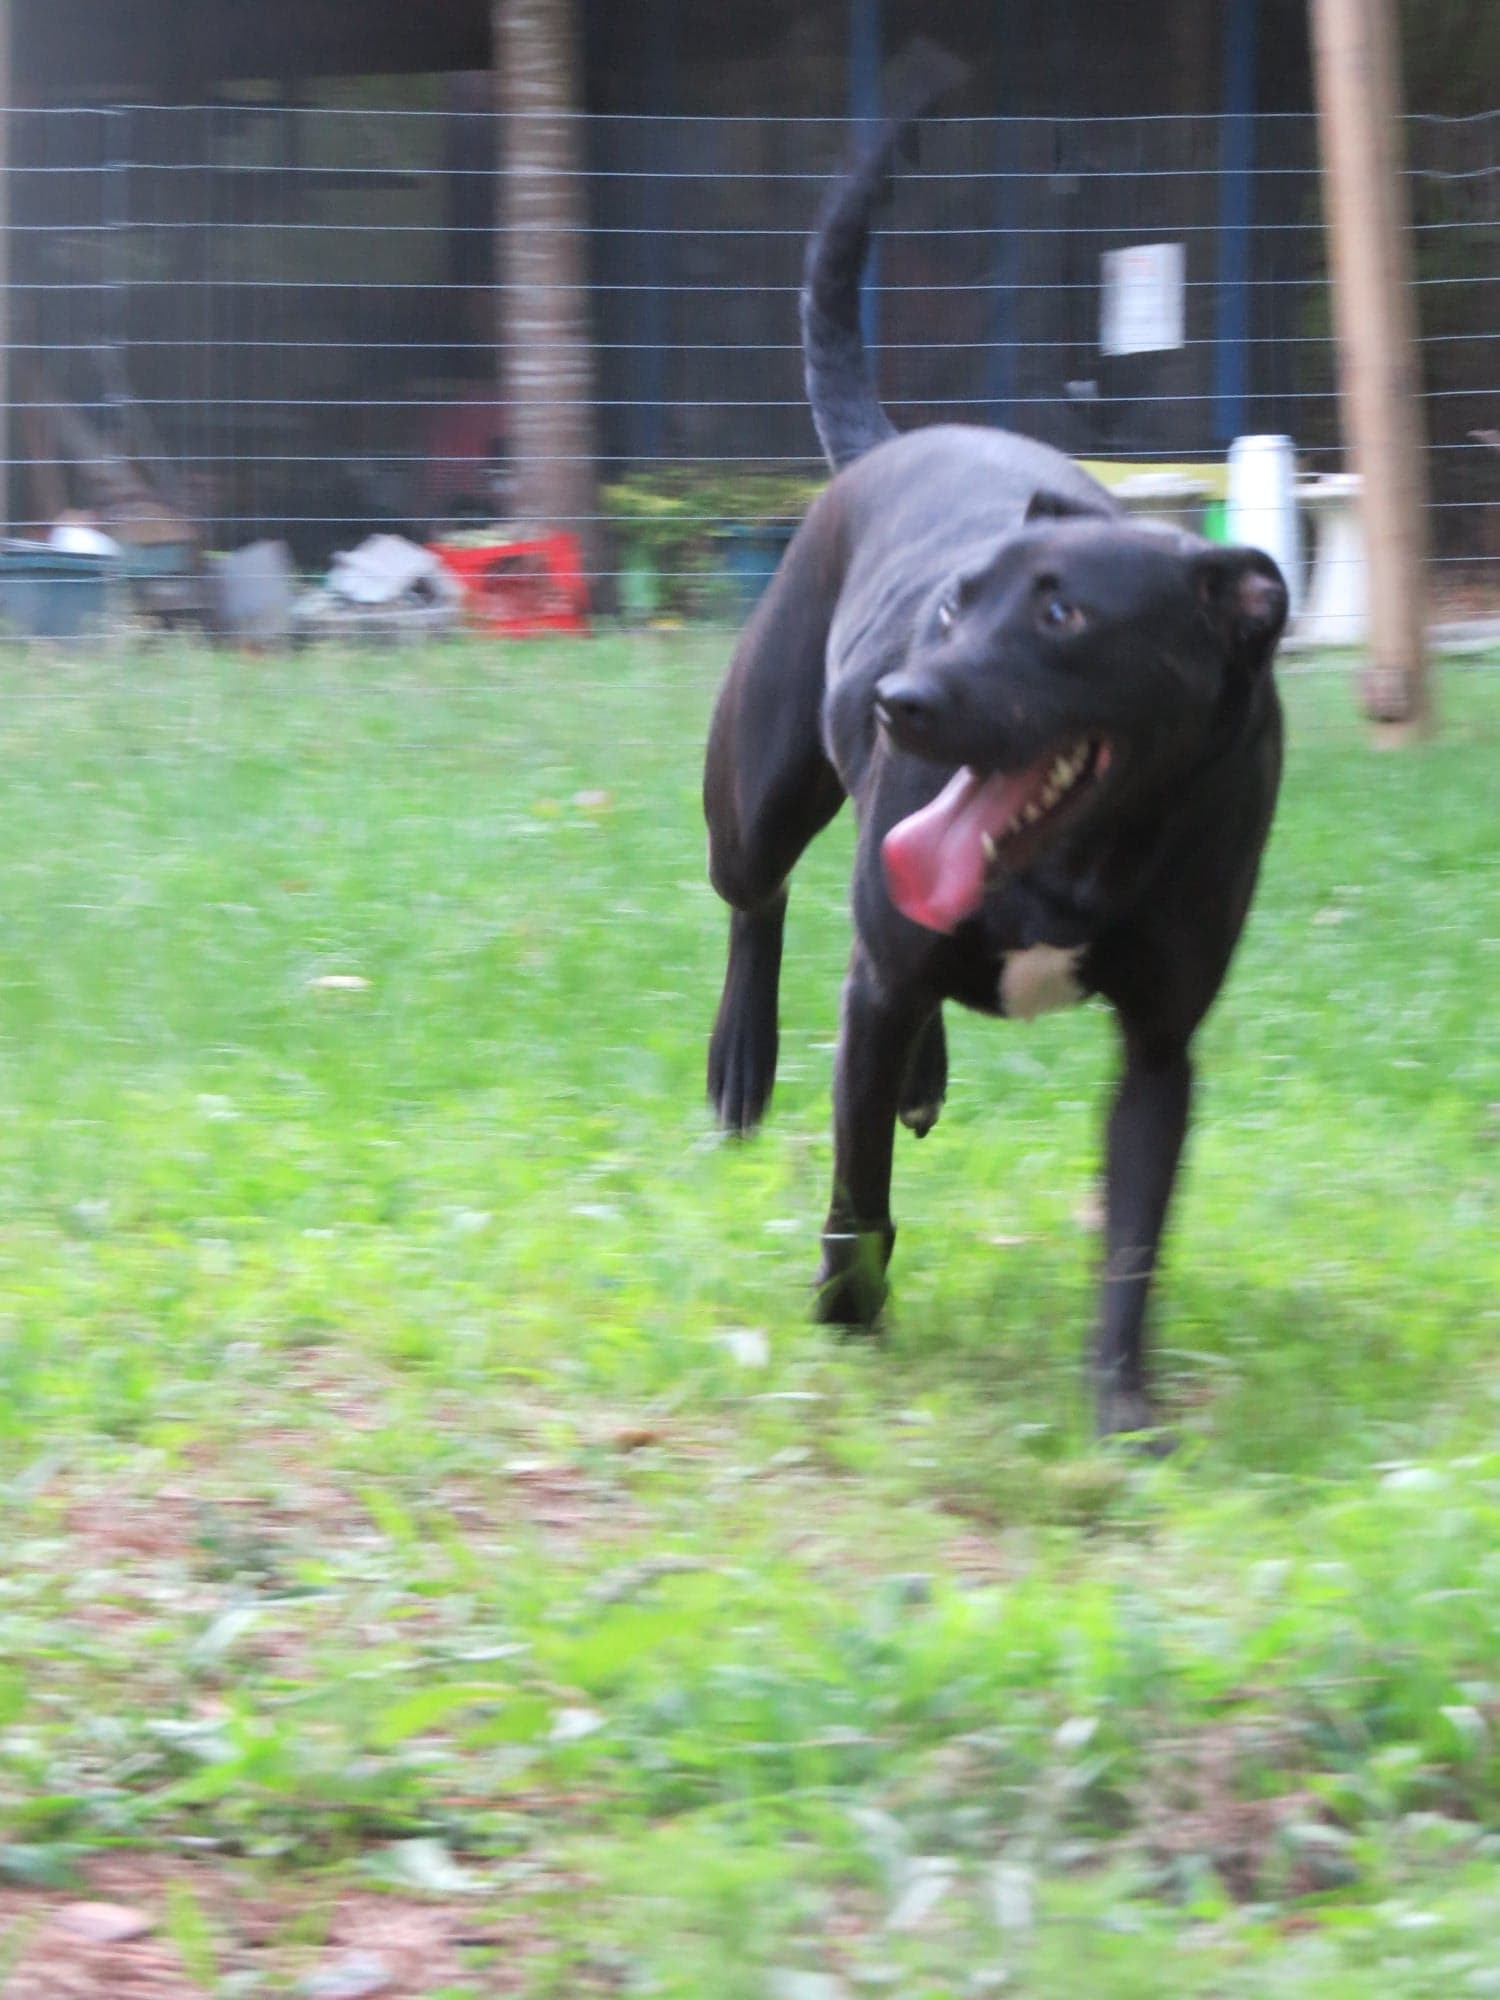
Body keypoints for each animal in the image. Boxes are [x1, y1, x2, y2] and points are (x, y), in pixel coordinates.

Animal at [704, 74, 1296, 1424]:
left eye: (1063, 615)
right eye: (950, 604)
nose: (898, 702)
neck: (1078, 857)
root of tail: (885, 443)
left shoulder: (1160, 1044)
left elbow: (1132, 1234)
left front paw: (1124, 1412)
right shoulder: (878, 976)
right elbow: (858, 1192)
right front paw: (847, 1316)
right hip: (757, 791)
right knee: (758, 902)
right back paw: (743, 1061)